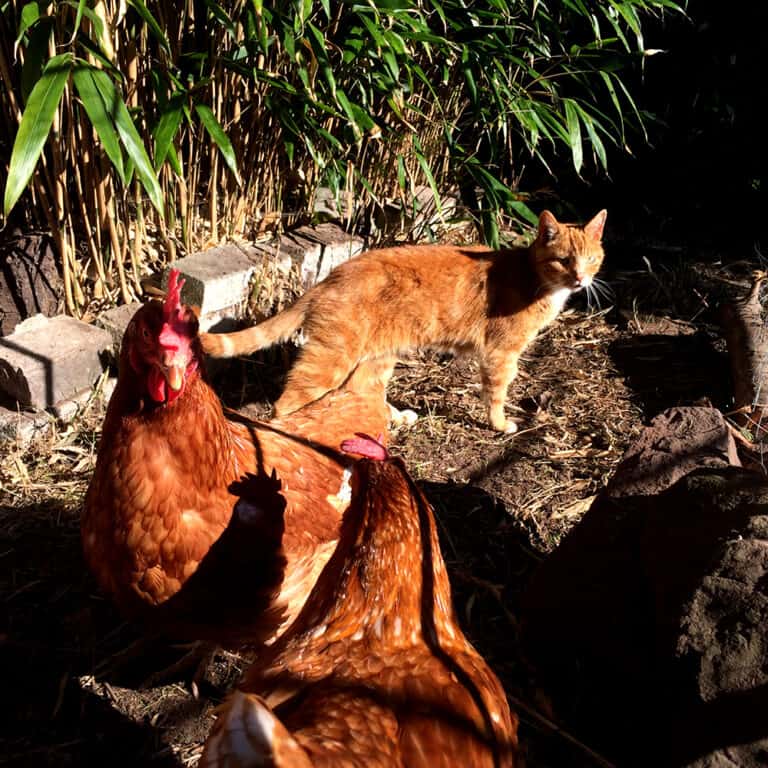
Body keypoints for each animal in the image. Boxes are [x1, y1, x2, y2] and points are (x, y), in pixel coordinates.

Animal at [201, 210, 608, 432]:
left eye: (591, 260)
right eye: (564, 260)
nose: (580, 280)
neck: (534, 278)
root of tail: (330, 278)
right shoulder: (500, 354)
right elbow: (496, 393)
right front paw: (499, 424)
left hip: (378, 357)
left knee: (358, 391)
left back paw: (391, 418)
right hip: (332, 359)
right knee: (286, 405)